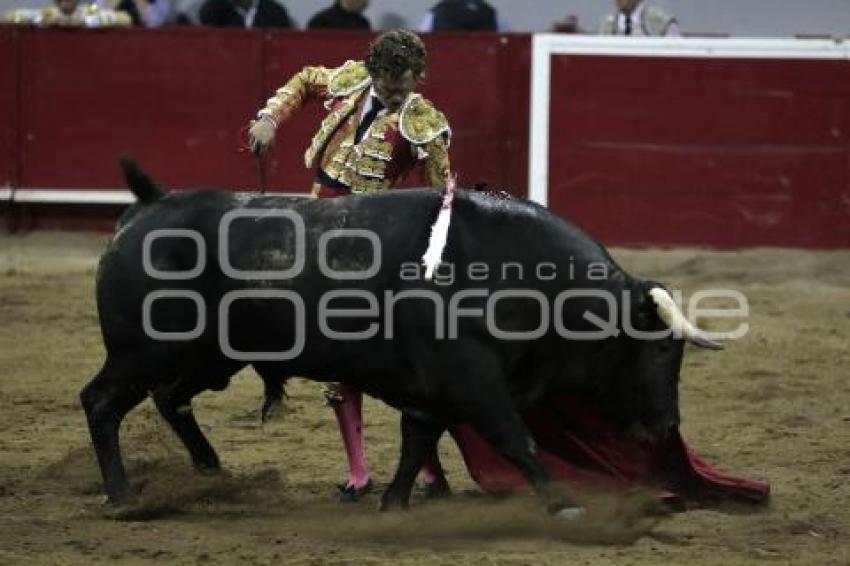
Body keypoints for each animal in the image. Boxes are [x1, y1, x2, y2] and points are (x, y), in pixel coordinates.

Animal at [79, 162, 720, 516]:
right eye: (661, 348)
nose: (666, 425)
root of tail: (147, 208)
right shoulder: (474, 381)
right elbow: (517, 440)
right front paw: (565, 504)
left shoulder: (434, 388)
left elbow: (417, 442)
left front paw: (392, 503)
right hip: (144, 350)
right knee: (101, 401)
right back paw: (122, 495)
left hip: (207, 356)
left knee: (169, 398)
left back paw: (212, 470)